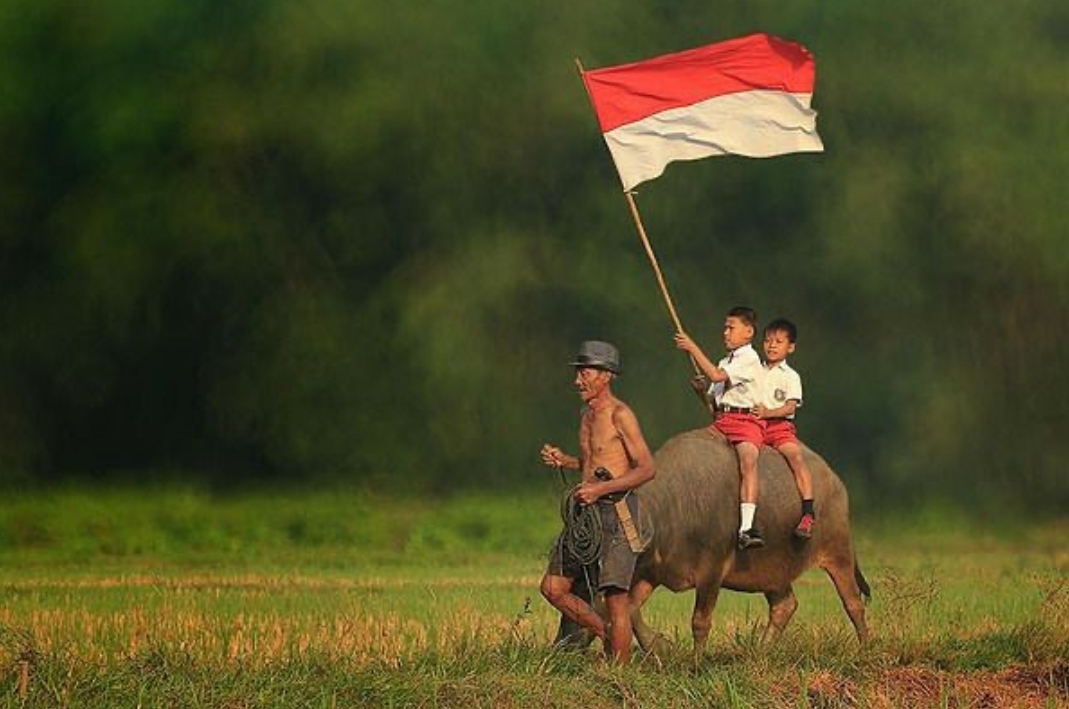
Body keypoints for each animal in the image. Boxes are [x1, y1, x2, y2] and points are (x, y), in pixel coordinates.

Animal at [560, 427, 868, 654]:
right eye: (574, 589)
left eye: (583, 595)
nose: (561, 645)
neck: (670, 510)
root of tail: (834, 479)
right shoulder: (653, 571)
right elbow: (632, 610)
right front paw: (662, 648)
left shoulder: (712, 570)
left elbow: (700, 621)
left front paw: (695, 661)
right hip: (773, 571)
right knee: (784, 605)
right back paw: (761, 650)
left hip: (839, 550)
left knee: (853, 601)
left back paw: (864, 647)